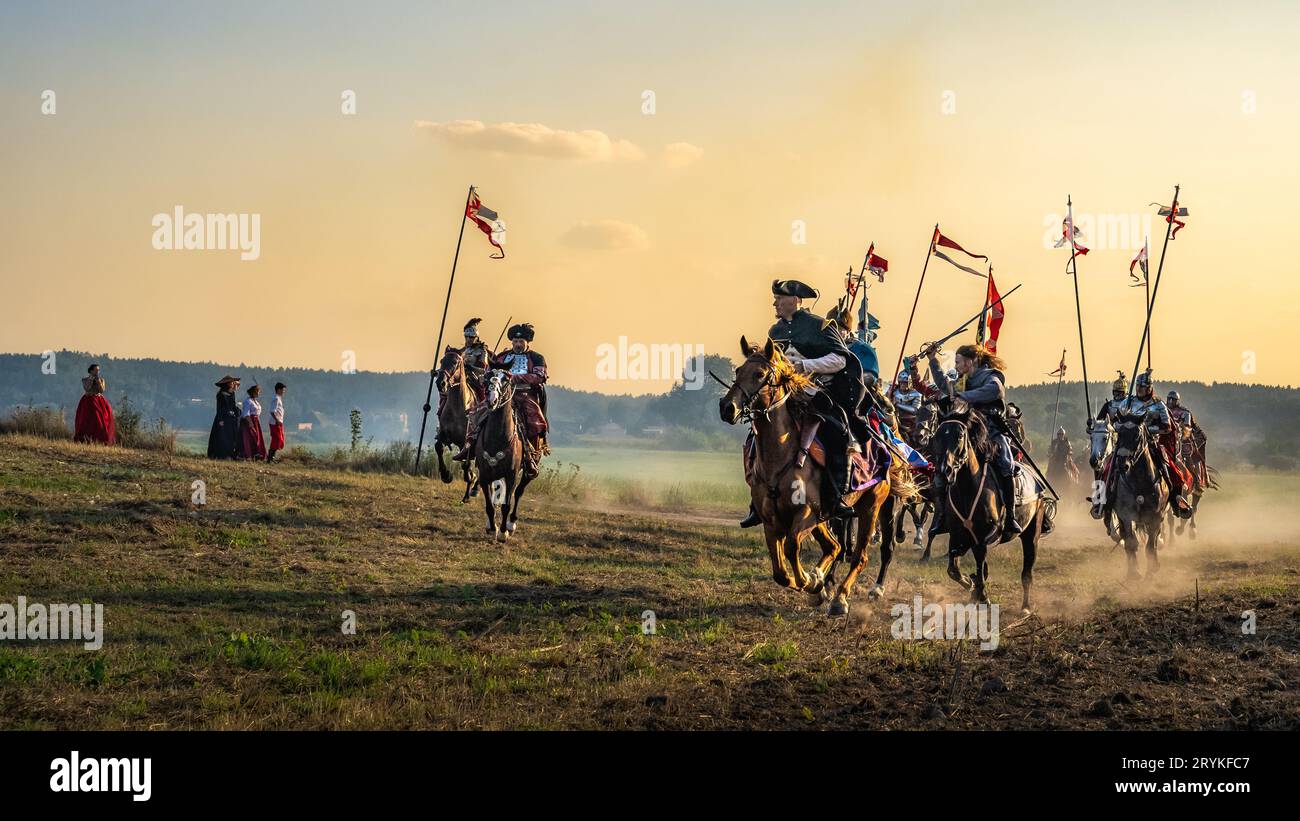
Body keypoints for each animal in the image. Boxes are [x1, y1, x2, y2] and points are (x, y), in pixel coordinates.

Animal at [434, 345, 480, 501]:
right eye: (441, 361)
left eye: (455, 362)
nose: (440, 383)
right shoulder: (443, 434)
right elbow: (438, 447)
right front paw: (446, 475)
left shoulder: (466, 442)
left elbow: (467, 464)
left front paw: (470, 477)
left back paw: (472, 490)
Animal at [473, 371, 533, 537]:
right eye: (486, 380)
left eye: (505, 380)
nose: (492, 400)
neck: (497, 437)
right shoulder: (484, 475)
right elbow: (489, 504)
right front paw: (493, 528)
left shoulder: (511, 475)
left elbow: (507, 504)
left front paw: (503, 532)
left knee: (518, 492)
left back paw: (511, 523)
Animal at [722, 335, 915, 615]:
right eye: (738, 371)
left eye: (759, 374)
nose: (727, 407)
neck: (782, 454)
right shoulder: (772, 519)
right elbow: (780, 571)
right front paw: (812, 581)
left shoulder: (807, 512)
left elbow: (793, 546)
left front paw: (810, 581)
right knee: (835, 546)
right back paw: (825, 586)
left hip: (873, 507)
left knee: (862, 554)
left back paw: (843, 597)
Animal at [930, 400, 1050, 613]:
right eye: (937, 436)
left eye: (959, 435)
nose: (944, 472)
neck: (967, 489)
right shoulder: (958, 537)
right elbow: (953, 569)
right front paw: (970, 584)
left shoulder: (986, 536)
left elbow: (979, 561)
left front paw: (982, 595)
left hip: (1032, 535)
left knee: (1027, 572)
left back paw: (1026, 607)